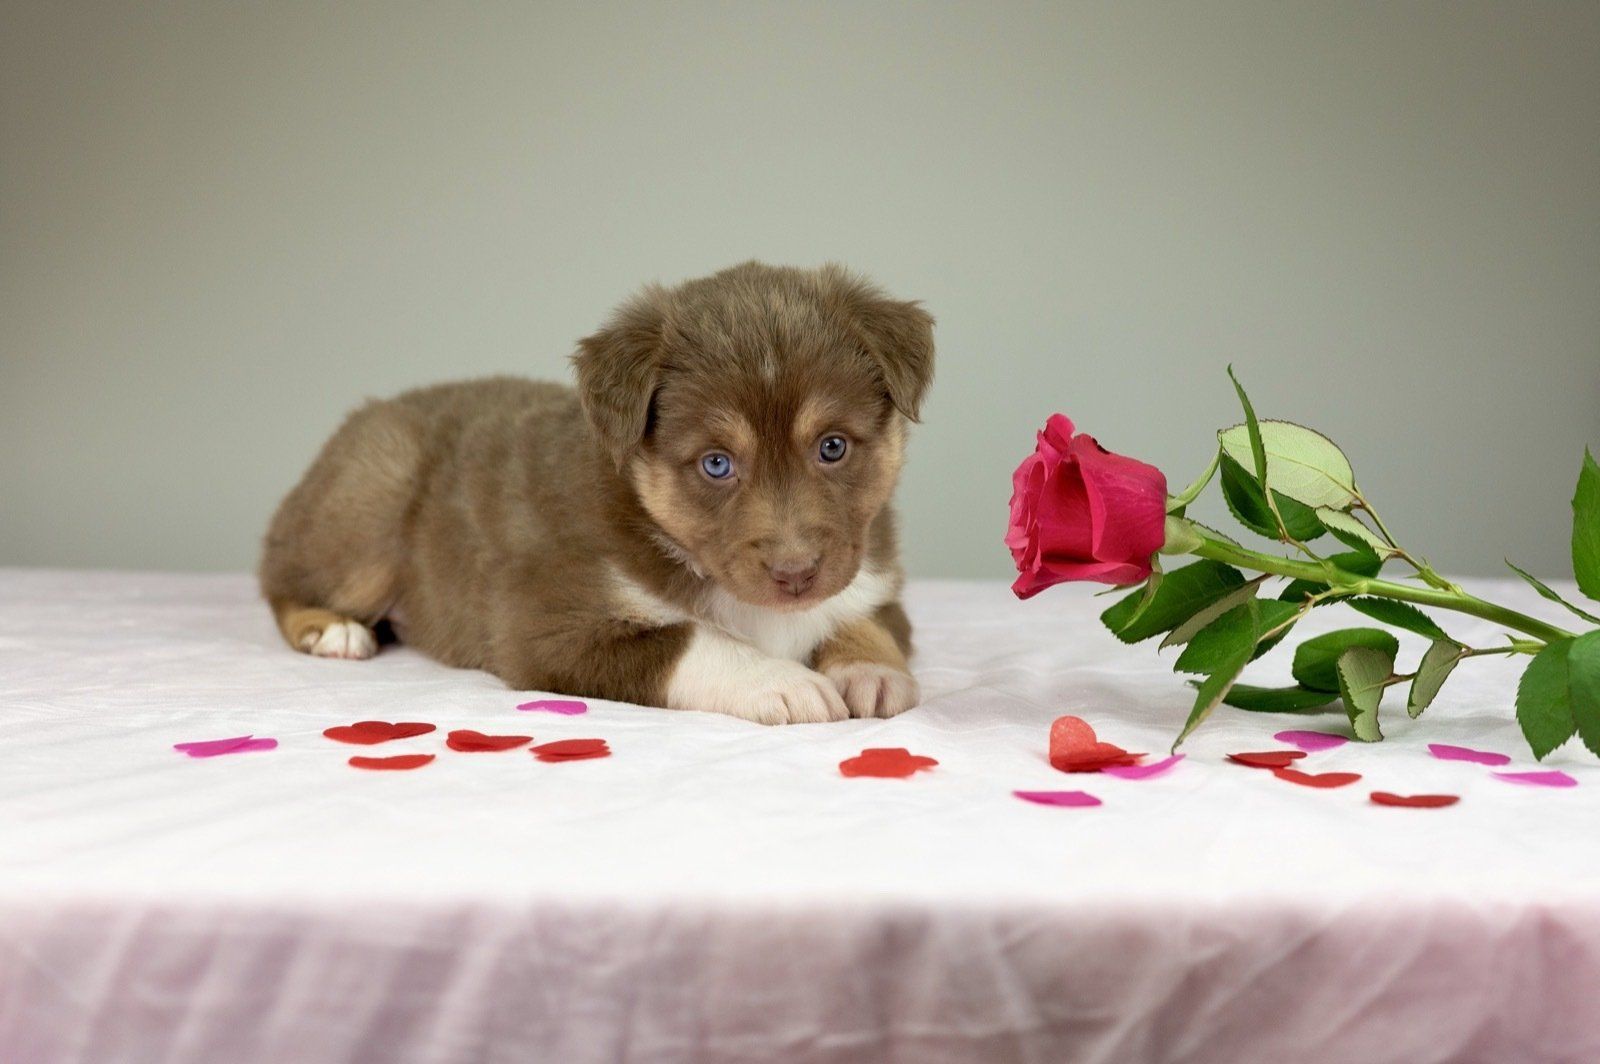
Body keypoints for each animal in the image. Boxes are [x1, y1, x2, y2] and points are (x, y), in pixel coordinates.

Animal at [259, 262, 933, 724]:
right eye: (717, 464)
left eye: (832, 447)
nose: (795, 575)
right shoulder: (544, 627)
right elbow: (691, 640)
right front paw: (781, 681)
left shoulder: (876, 584)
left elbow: (867, 622)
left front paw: (870, 671)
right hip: (374, 493)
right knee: (281, 580)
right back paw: (333, 630)